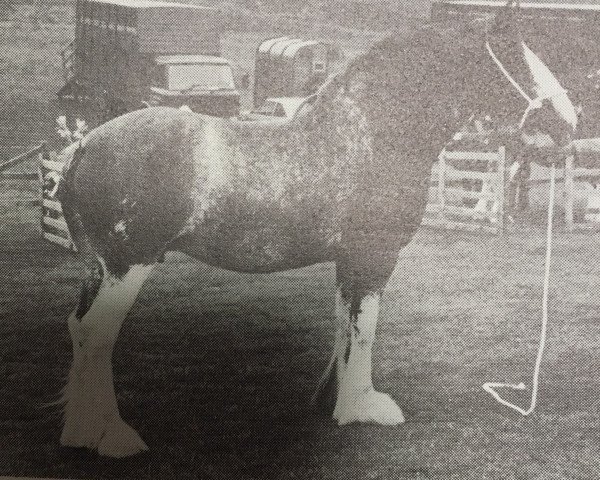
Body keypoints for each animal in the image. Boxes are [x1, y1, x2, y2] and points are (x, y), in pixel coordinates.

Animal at [56, 0, 580, 458]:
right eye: (516, 57)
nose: (568, 124)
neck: (368, 135)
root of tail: (85, 145)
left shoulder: (349, 262)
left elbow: (344, 327)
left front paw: (336, 402)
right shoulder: (373, 259)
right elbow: (363, 331)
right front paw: (362, 408)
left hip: (99, 267)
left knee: (78, 329)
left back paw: (80, 431)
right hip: (128, 265)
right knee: (97, 335)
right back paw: (114, 437)